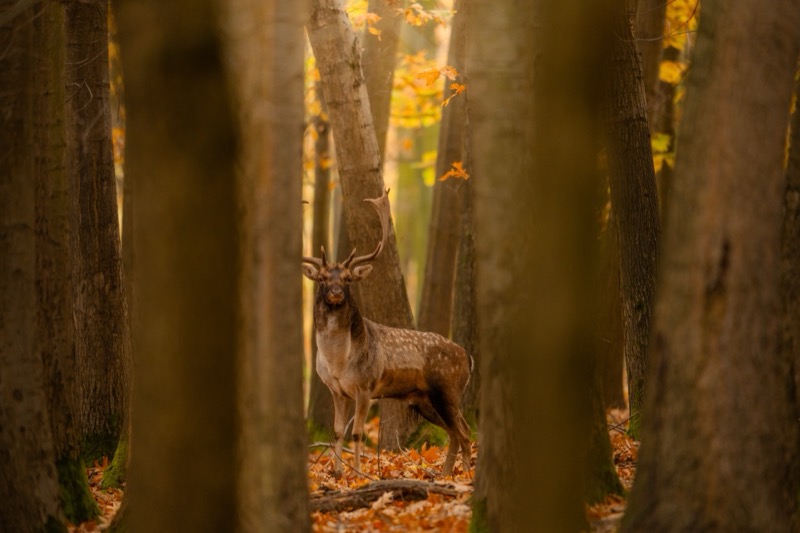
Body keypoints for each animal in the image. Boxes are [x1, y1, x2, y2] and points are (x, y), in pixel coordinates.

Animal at [302, 189, 473, 478]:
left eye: (348, 278)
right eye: (323, 278)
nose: (335, 293)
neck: (338, 360)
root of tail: (469, 358)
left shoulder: (365, 387)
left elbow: (357, 433)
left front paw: (359, 475)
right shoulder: (337, 390)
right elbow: (337, 432)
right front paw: (337, 474)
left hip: (448, 390)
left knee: (464, 433)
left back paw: (464, 476)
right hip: (424, 400)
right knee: (455, 433)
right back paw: (445, 474)